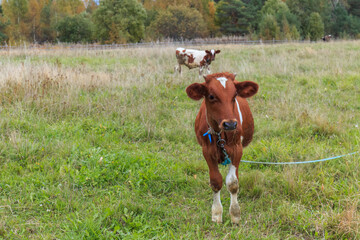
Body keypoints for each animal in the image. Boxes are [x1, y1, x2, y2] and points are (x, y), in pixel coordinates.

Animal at [186, 72, 258, 224]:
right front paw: (217, 213)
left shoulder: (237, 150)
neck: (221, 134)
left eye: (235, 95)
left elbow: (232, 183)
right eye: (211, 96)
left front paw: (235, 214)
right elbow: (215, 181)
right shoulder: (207, 151)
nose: (230, 124)